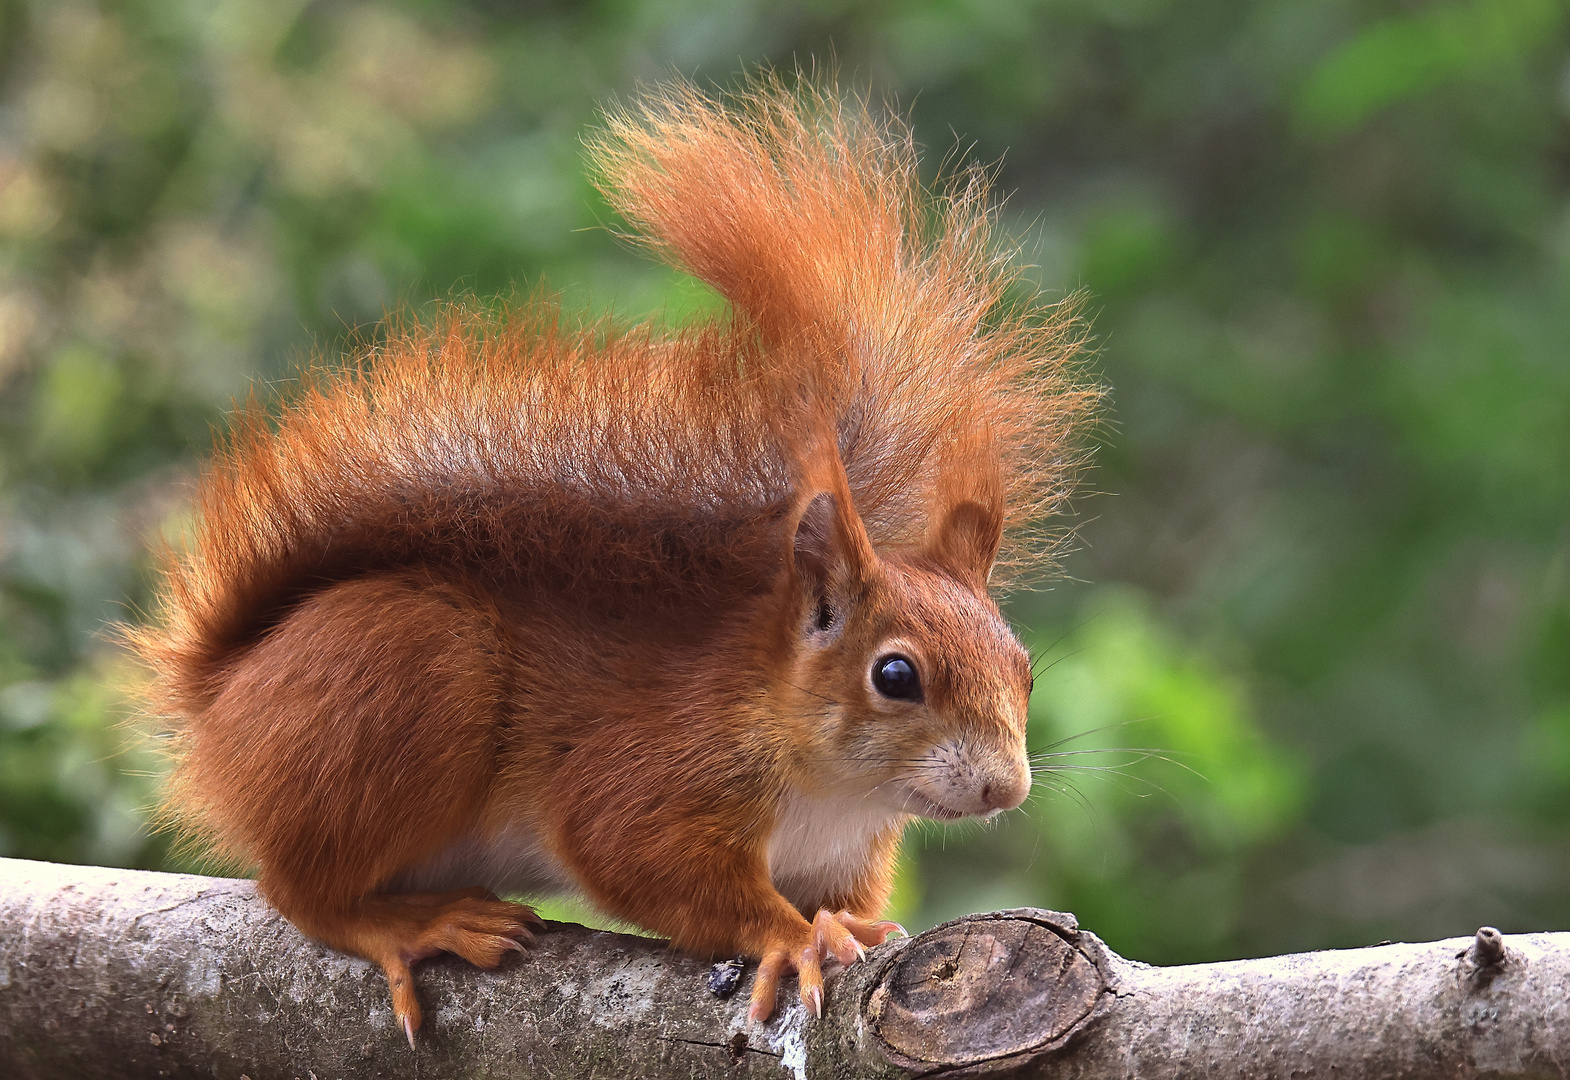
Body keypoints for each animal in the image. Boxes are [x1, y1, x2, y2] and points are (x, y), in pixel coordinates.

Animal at [125, 82, 1092, 1048]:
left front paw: (848, 925)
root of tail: (222, 695)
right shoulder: (652, 771)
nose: (1005, 787)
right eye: (895, 676)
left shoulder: (843, 854)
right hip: (409, 669)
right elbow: (636, 854)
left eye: (1024, 669)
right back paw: (405, 923)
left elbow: (840, 901)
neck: (837, 789)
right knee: (300, 890)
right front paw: (792, 938)